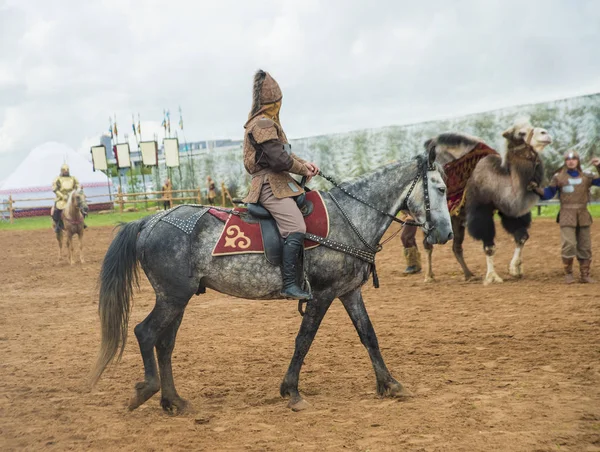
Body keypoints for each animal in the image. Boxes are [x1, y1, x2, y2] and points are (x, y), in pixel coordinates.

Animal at [91, 151, 452, 414]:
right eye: (442, 189)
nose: (446, 234)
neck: (349, 217)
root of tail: (150, 221)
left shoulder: (349, 293)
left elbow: (369, 336)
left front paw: (390, 384)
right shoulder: (322, 295)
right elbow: (303, 340)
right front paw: (291, 391)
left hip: (178, 298)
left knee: (164, 344)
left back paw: (173, 401)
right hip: (172, 297)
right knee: (145, 333)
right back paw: (147, 391)